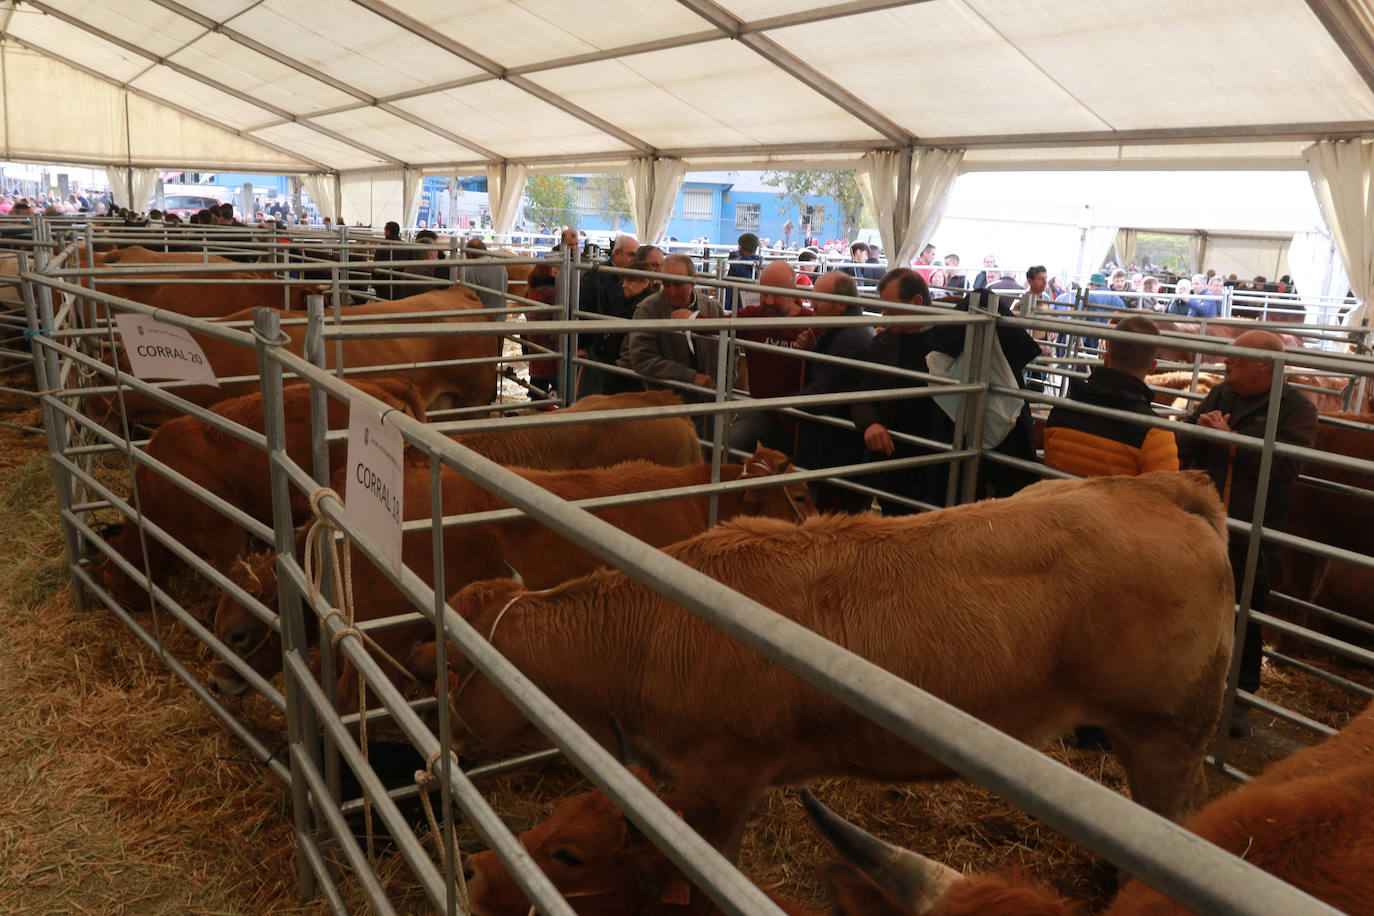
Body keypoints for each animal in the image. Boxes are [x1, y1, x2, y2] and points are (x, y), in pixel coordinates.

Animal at [439, 472, 1236, 862]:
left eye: (453, 665)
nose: (447, 743)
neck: (652, 631)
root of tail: (1156, 489)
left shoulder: (721, 778)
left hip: (1167, 731)